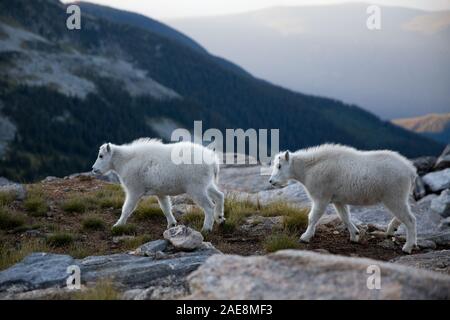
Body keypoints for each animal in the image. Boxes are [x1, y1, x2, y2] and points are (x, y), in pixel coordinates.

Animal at [91, 139, 225, 231]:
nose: (94, 169)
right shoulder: (161, 192)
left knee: (209, 206)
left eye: (101, 156)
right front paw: (172, 224)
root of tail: (213, 161)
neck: (125, 162)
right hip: (206, 184)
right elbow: (165, 208)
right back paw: (220, 218)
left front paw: (118, 225)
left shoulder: (134, 190)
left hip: (196, 188)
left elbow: (127, 209)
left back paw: (206, 228)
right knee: (219, 196)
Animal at [268, 144, 418, 252]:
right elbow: (344, 217)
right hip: (398, 197)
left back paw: (407, 247)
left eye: (279, 166)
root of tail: (411, 171)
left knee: (410, 219)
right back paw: (394, 231)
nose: (271, 181)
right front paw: (354, 235)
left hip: (394, 196)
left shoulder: (321, 197)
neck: (307, 169)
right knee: (406, 215)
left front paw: (305, 237)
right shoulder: (338, 200)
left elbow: (313, 217)